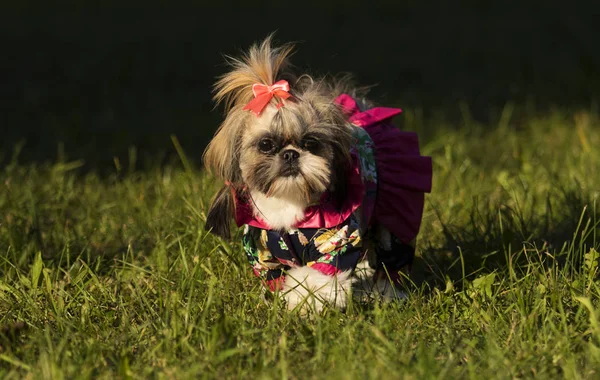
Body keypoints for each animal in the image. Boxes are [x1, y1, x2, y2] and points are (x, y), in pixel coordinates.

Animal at [204, 35, 428, 312]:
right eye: (266, 144)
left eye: (310, 142)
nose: (290, 154)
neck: (289, 204)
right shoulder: (262, 252)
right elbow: (275, 276)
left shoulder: (336, 242)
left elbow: (314, 279)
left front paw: (303, 305)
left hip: (391, 217)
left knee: (388, 260)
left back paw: (384, 293)